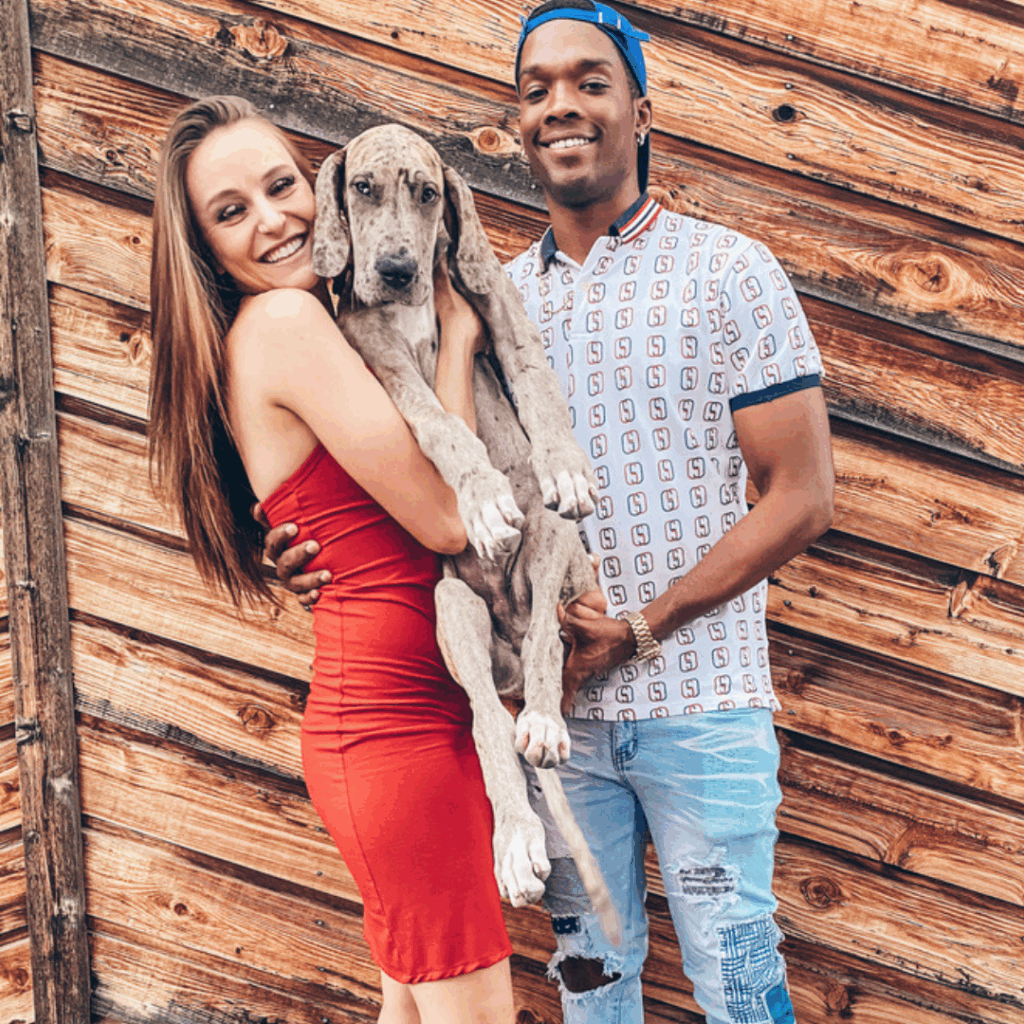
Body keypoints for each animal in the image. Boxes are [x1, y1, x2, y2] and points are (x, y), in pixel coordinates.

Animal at [312, 124, 619, 942]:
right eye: (361, 188)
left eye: (428, 193)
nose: (394, 269)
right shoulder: (376, 357)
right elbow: (438, 423)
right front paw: (479, 497)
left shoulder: (500, 316)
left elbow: (538, 389)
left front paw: (565, 463)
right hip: (453, 608)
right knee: (485, 722)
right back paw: (514, 841)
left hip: (552, 550)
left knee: (544, 638)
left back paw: (541, 717)